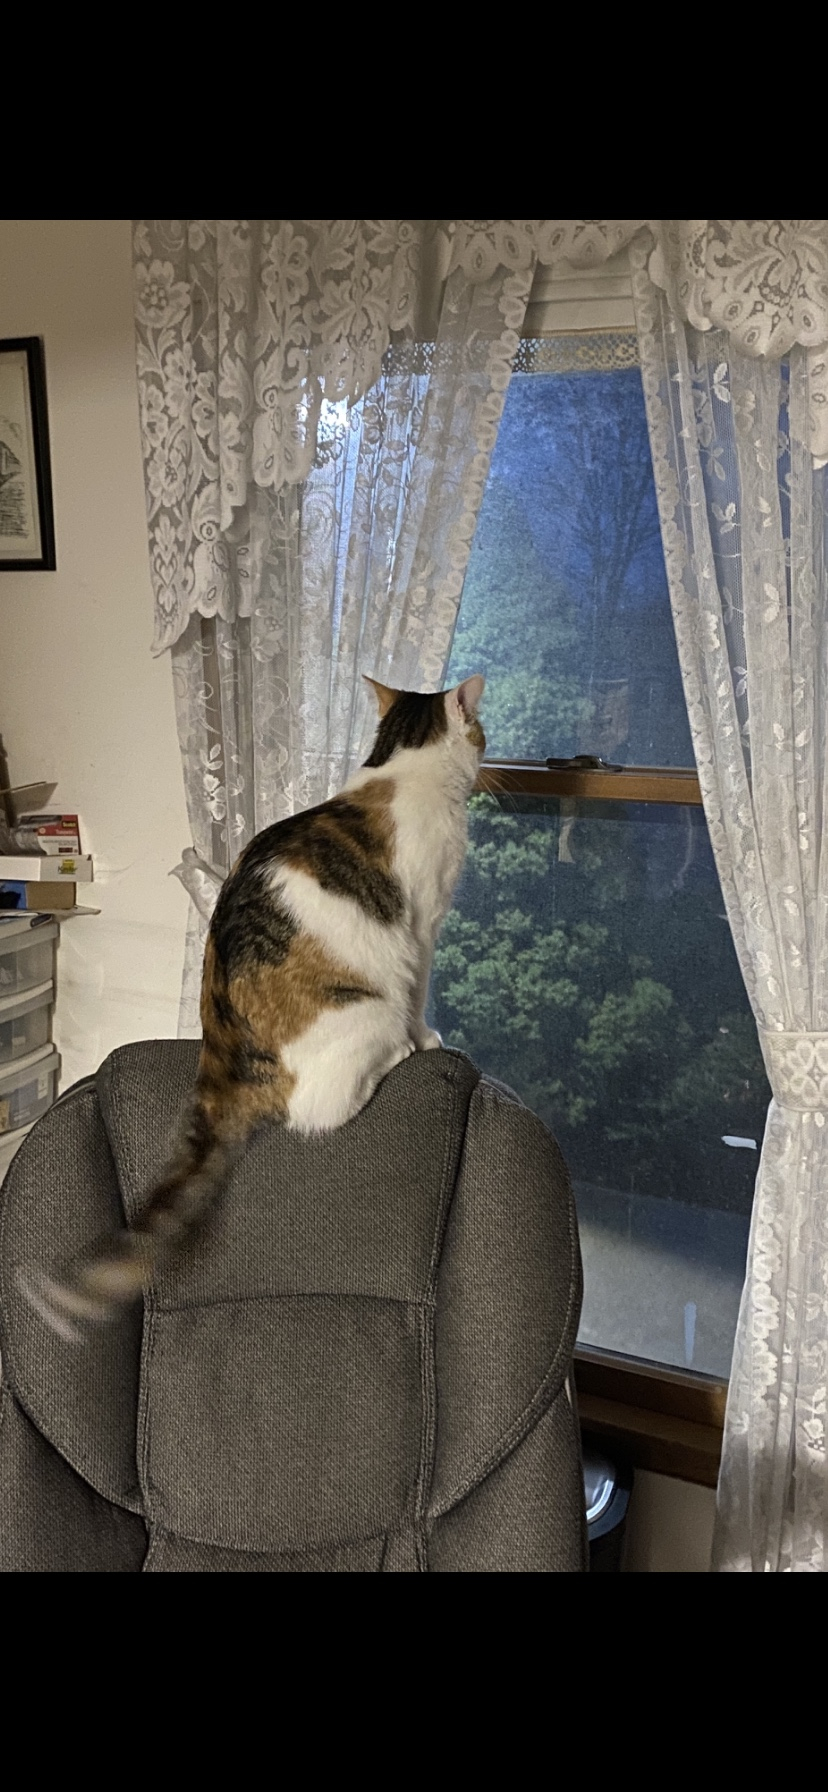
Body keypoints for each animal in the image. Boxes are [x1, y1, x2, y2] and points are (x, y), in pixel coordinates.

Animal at [21, 673, 486, 1340]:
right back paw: (397, 1052)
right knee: (321, 1107)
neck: (405, 762)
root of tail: (225, 1059)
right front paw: (427, 1037)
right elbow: (421, 990)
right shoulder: (424, 925)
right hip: (366, 1013)